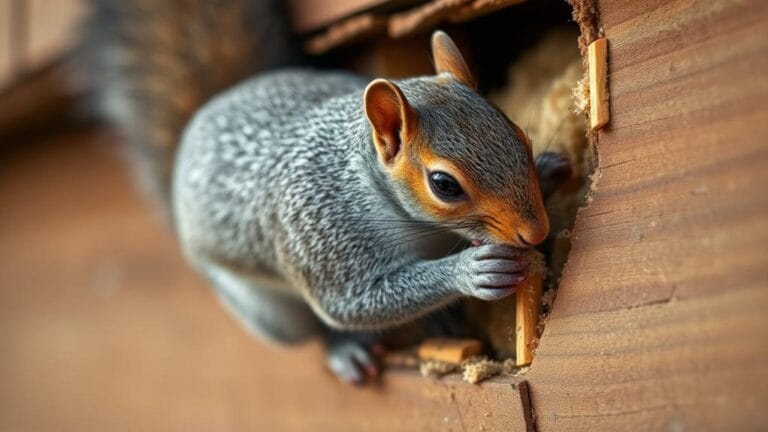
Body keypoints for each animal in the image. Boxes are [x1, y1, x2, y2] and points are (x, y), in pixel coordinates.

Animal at [81, 0, 571, 385]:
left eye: (519, 136)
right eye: (444, 185)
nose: (535, 231)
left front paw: (550, 170)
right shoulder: (322, 232)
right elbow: (355, 301)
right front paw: (470, 272)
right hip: (268, 312)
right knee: (314, 330)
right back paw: (344, 350)